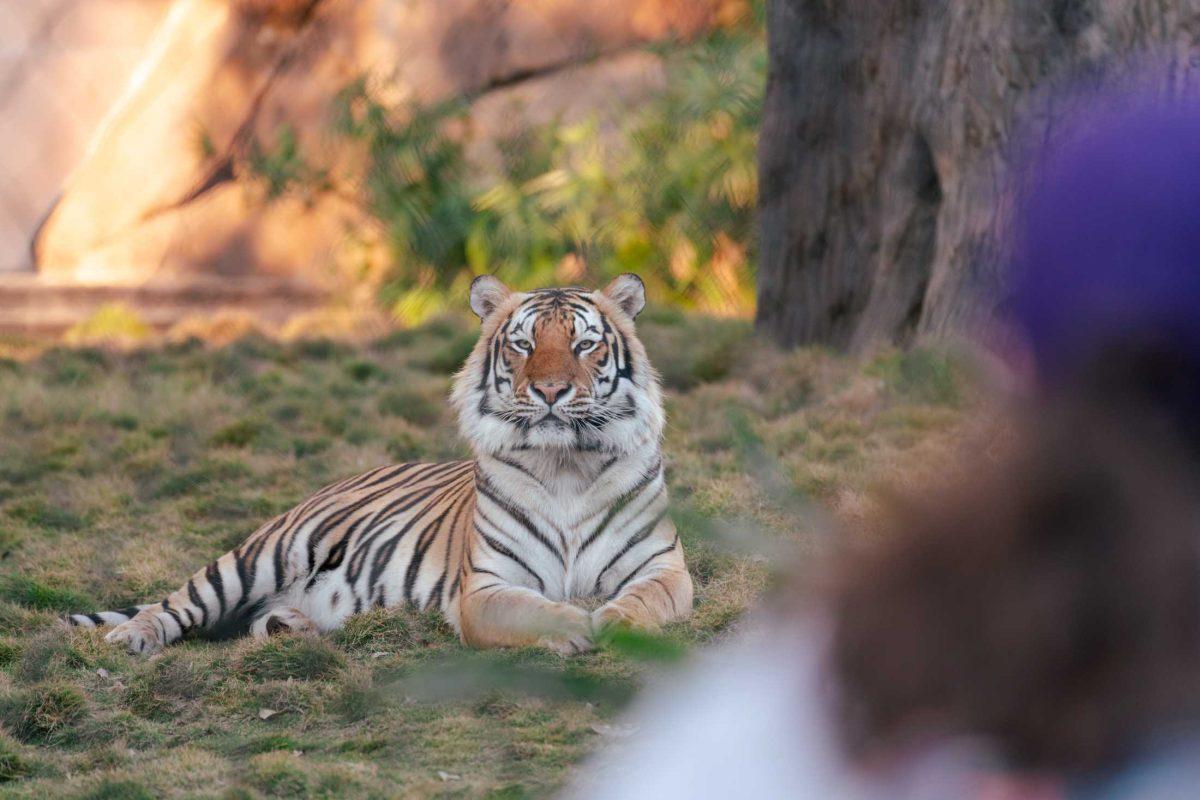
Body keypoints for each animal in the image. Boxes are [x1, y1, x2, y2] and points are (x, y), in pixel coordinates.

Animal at [68, 275, 696, 657]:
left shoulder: (664, 568)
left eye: (585, 344)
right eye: (522, 345)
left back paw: (292, 626)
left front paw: (613, 624)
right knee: (176, 604)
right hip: (254, 559)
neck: (566, 465)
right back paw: (132, 638)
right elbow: (535, 610)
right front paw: (574, 627)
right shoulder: (486, 587)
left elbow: (643, 602)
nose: (549, 391)